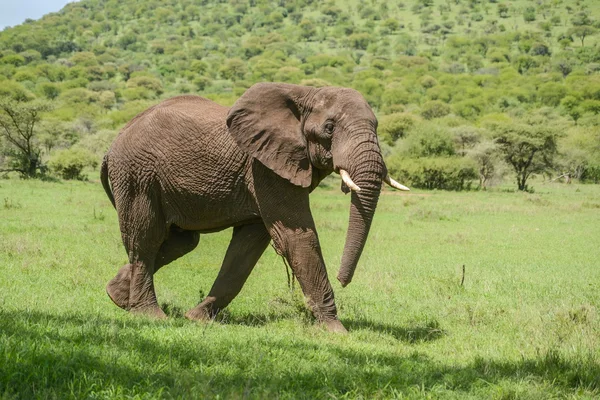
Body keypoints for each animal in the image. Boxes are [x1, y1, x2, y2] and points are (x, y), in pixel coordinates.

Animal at [101, 81, 408, 332]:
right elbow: (297, 237)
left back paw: (117, 297)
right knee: (146, 240)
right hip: (137, 175)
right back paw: (149, 315)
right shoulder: (264, 167)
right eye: (329, 128)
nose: (343, 280)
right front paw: (335, 331)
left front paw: (197, 318)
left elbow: (247, 246)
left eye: (377, 126)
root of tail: (113, 144)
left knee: (180, 241)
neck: (305, 94)